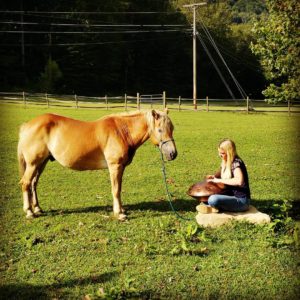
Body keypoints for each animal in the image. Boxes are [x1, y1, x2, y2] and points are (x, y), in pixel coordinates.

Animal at [17, 109, 177, 219]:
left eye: (172, 128)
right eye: (160, 129)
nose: (173, 154)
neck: (121, 131)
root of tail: (26, 125)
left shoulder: (120, 168)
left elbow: (119, 189)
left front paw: (121, 210)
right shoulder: (115, 166)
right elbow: (116, 190)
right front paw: (119, 214)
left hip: (41, 163)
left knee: (33, 184)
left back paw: (37, 209)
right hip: (33, 164)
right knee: (26, 183)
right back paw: (29, 212)